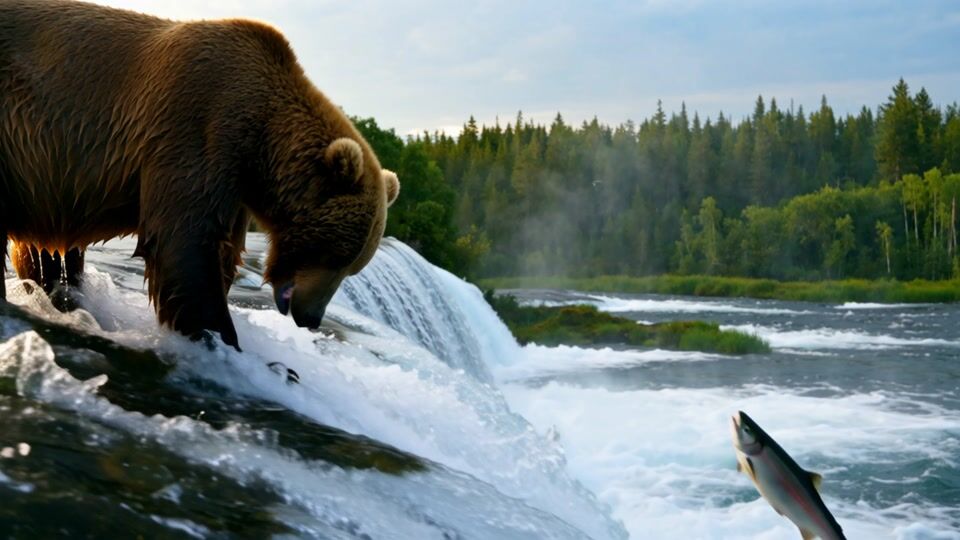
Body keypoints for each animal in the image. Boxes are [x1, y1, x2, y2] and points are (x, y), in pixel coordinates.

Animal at [0, 0, 400, 350]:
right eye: (335, 255)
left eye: (353, 267)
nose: (311, 317)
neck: (260, 141)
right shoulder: (197, 122)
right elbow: (184, 240)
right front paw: (218, 335)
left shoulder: (235, 186)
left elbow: (224, 251)